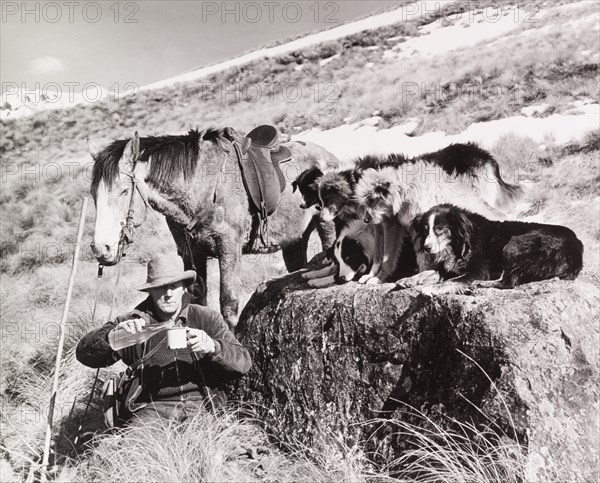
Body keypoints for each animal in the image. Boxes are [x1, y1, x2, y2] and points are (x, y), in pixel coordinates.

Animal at [91, 126, 340, 328]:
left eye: (123, 191)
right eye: (93, 195)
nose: (101, 249)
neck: (200, 187)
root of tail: (330, 157)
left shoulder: (228, 247)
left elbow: (228, 304)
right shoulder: (191, 253)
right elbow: (196, 300)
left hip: (325, 226)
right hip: (295, 241)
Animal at [396, 203, 584, 296]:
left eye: (440, 229)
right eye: (426, 229)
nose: (426, 248)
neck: (461, 242)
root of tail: (576, 246)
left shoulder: (479, 270)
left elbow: (452, 281)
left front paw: (431, 289)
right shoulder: (448, 267)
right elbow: (430, 272)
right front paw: (407, 280)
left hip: (515, 244)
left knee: (508, 282)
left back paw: (481, 284)